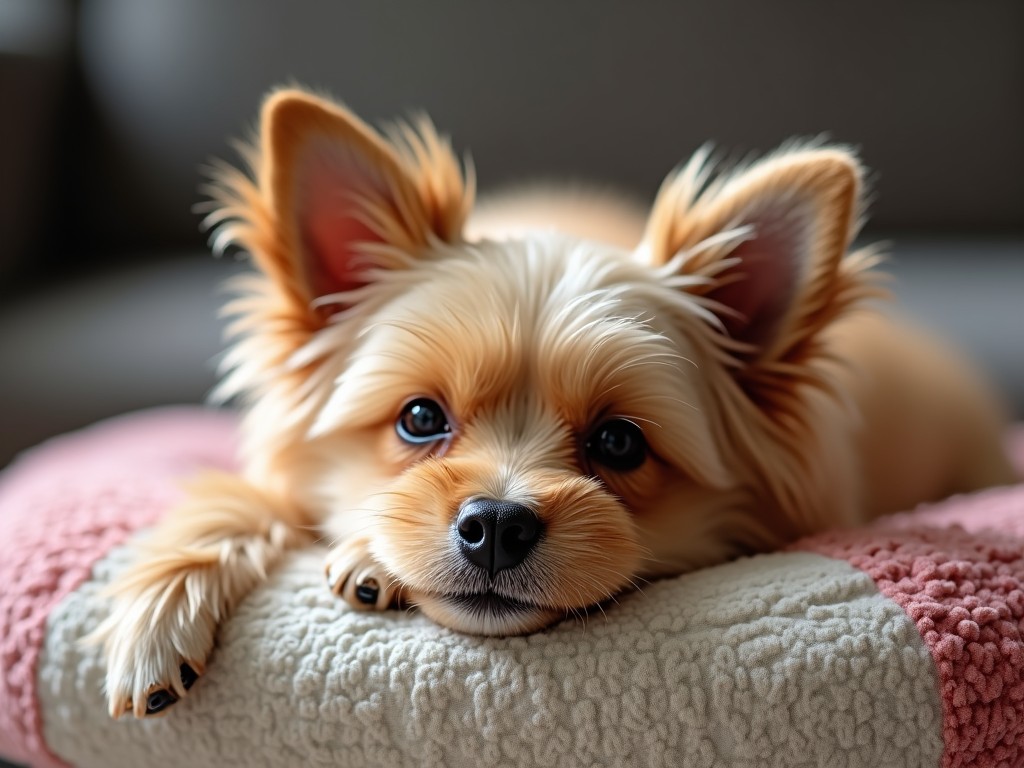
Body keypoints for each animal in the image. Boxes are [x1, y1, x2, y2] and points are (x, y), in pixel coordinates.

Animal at [92, 88, 1019, 720]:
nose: (496, 523)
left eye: (619, 443)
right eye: (419, 419)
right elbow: (230, 503)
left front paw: (360, 552)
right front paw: (159, 614)